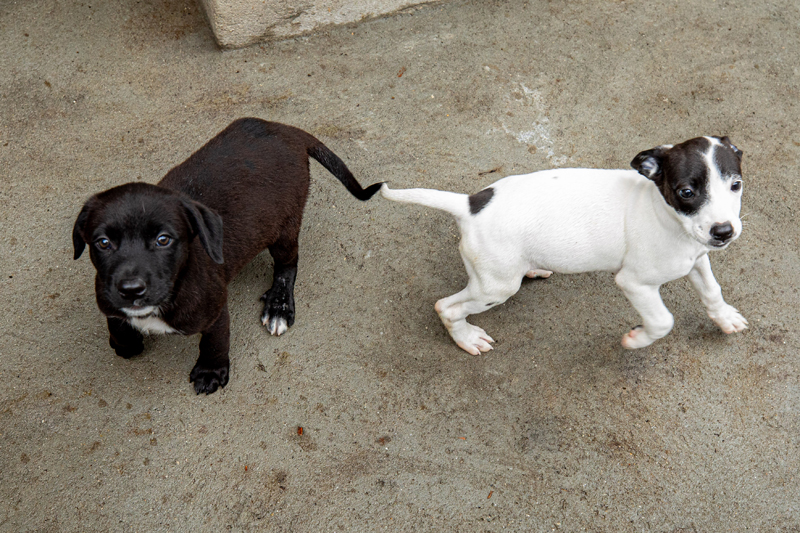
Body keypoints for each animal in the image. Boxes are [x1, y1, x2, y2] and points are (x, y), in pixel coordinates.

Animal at [72, 118, 382, 392]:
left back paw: (279, 306)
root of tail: (286, 130)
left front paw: (211, 372)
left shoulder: (215, 310)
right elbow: (115, 319)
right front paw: (125, 341)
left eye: (163, 240)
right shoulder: (105, 292)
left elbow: (214, 342)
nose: (131, 290)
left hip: (284, 227)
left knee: (288, 265)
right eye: (102, 242)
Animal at [382, 137, 752, 354]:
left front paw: (725, 318)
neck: (667, 215)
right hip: (495, 287)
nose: (723, 232)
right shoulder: (634, 283)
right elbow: (662, 321)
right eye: (686, 192)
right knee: (447, 307)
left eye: (736, 185)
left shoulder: (698, 258)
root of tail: (470, 204)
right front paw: (635, 339)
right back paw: (467, 338)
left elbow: (712, 290)